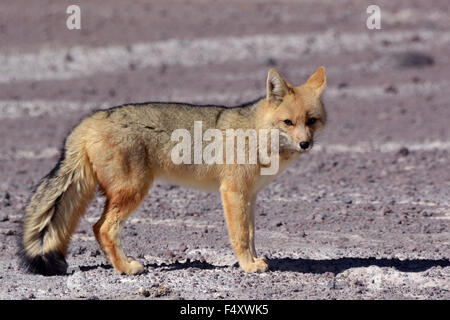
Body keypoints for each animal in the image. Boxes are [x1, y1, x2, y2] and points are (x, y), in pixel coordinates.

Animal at [19, 65, 326, 276]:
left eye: (312, 121)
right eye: (288, 122)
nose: (305, 144)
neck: (258, 132)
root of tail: (89, 120)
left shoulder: (249, 196)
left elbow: (250, 234)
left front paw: (254, 260)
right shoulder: (233, 192)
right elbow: (239, 236)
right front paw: (248, 266)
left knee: (97, 227)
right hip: (134, 190)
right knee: (103, 228)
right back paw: (127, 268)